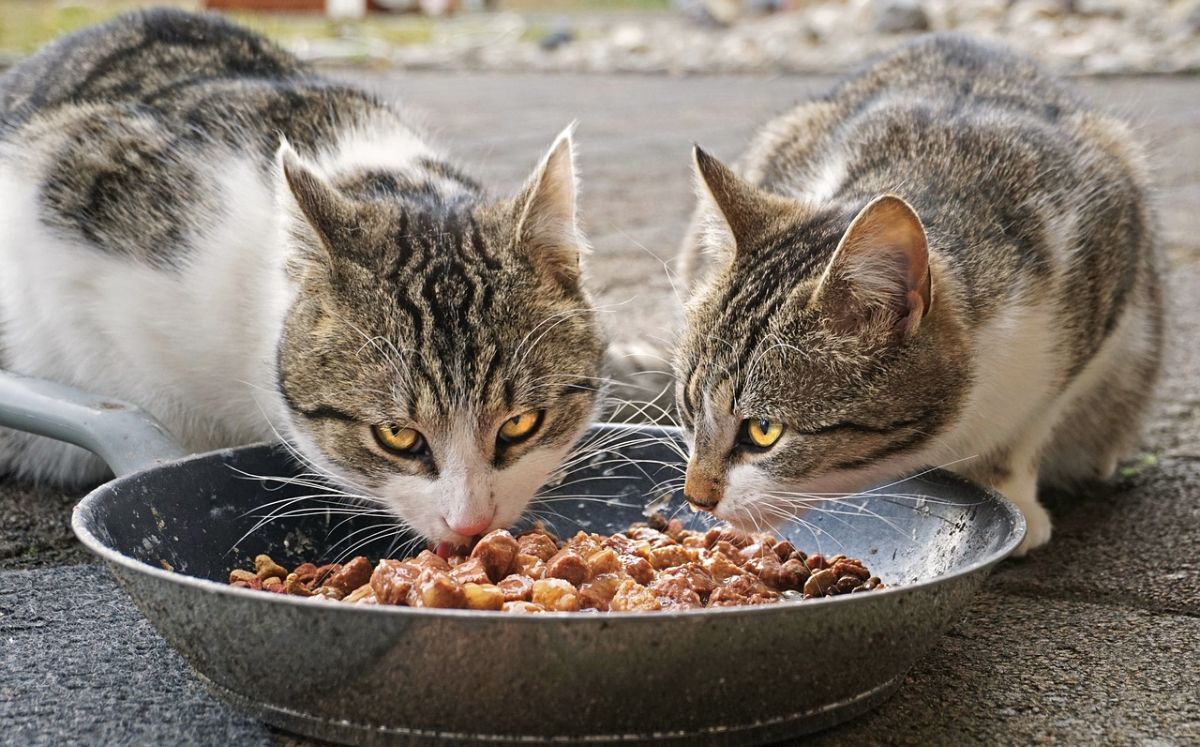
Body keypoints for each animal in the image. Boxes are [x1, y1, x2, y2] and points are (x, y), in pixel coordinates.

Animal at [672, 35, 1156, 557]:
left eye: (764, 431)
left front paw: (1011, 492)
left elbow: (1029, 425)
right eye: (689, 407)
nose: (696, 497)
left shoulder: (1104, 267)